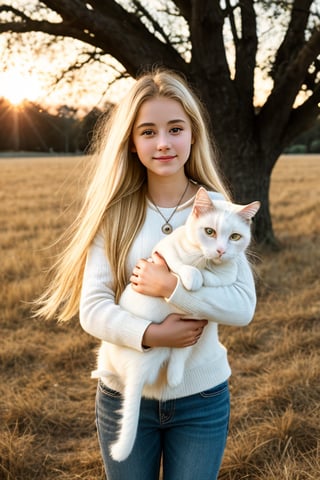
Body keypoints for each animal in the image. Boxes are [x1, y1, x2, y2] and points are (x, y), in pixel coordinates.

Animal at [90, 187, 260, 462]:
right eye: (209, 232)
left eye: (235, 237)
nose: (221, 250)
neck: (204, 260)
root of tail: (138, 370)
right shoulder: (164, 251)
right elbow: (181, 266)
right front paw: (193, 276)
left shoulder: (226, 272)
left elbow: (223, 275)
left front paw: (207, 275)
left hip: (189, 330)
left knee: (178, 354)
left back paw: (174, 378)